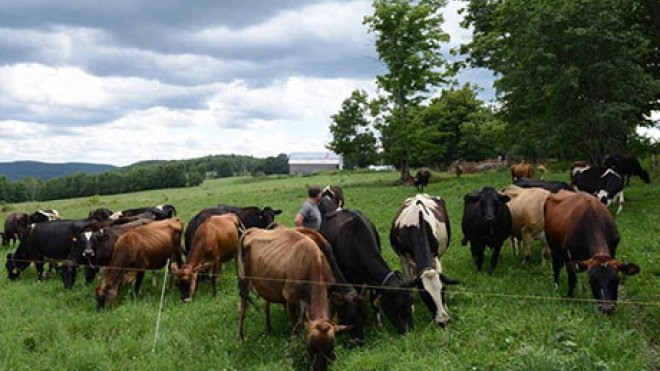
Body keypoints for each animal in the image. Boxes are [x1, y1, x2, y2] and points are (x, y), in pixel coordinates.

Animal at [238, 228, 350, 371]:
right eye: (310, 347)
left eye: (330, 349)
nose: (318, 368)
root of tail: (252, 230)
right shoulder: (290, 298)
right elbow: (296, 328)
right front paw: (295, 348)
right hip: (244, 279)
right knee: (242, 308)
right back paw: (240, 338)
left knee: (265, 306)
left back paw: (268, 331)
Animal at [318, 196, 416, 336]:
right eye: (398, 305)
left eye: (411, 302)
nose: (409, 332)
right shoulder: (354, 278)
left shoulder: (373, 281)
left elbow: (374, 298)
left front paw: (379, 323)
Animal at [390, 195, 456, 328]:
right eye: (425, 294)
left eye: (443, 290)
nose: (443, 321)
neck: (417, 224)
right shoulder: (404, 259)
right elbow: (408, 283)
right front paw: (411, 306)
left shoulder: (435, 256)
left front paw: (446, 307)